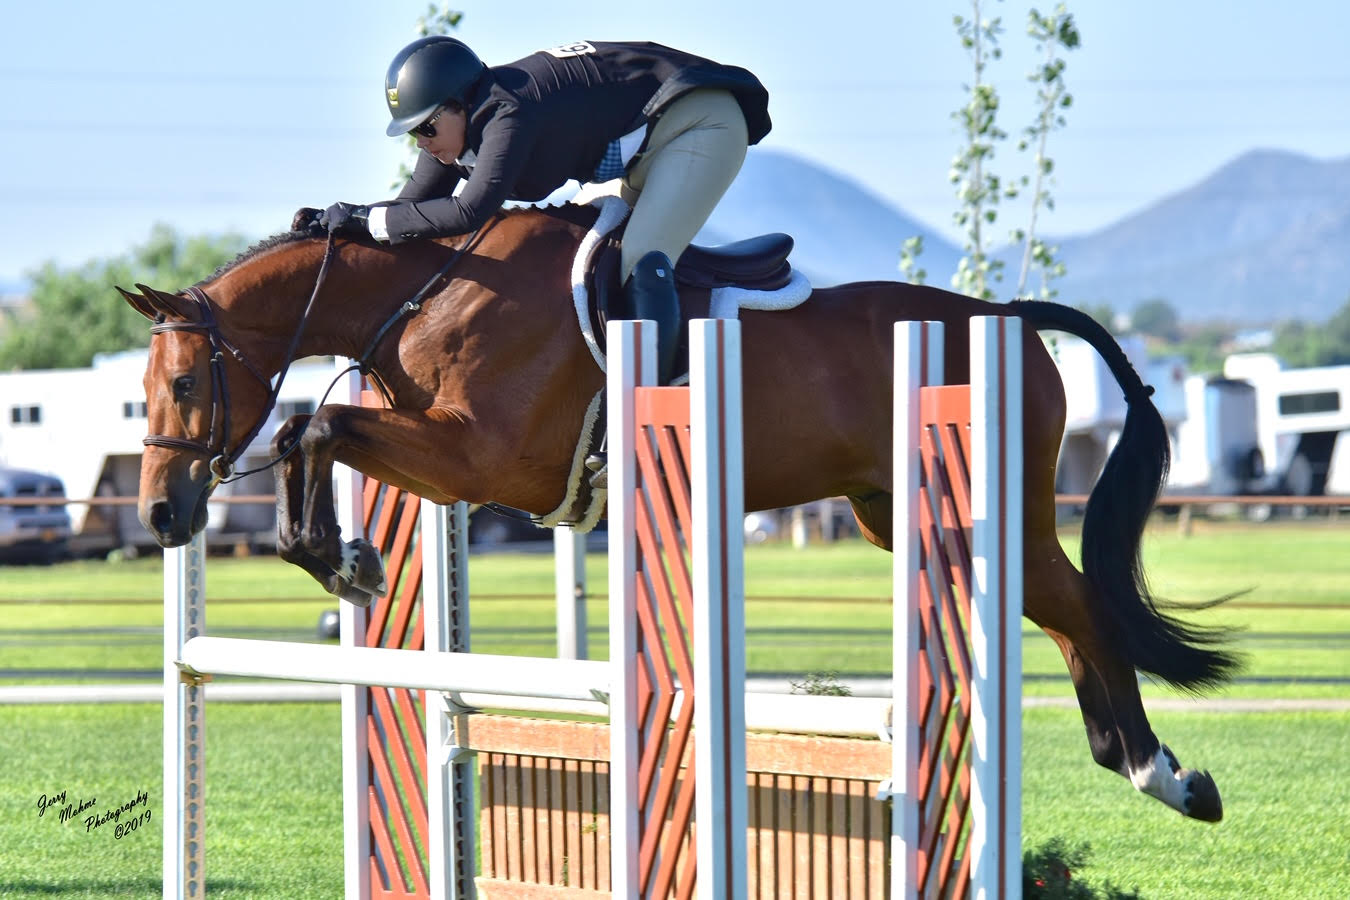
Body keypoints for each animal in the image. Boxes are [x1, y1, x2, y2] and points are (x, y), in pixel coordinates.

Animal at [121, 202, 1236, 825]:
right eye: (144, 391)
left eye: (177, 385)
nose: (164, 516)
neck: (432, 288)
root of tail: (1004, 315)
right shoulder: (444, 459)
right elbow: (310, 429)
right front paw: (342, 559)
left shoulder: (481, 456)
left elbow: (314, 422)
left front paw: (341, 560)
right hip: (901, 514)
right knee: (1067, 614)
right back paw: (1142, 765)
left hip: (990, 506)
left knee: (1084, 610)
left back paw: (1163, 775)